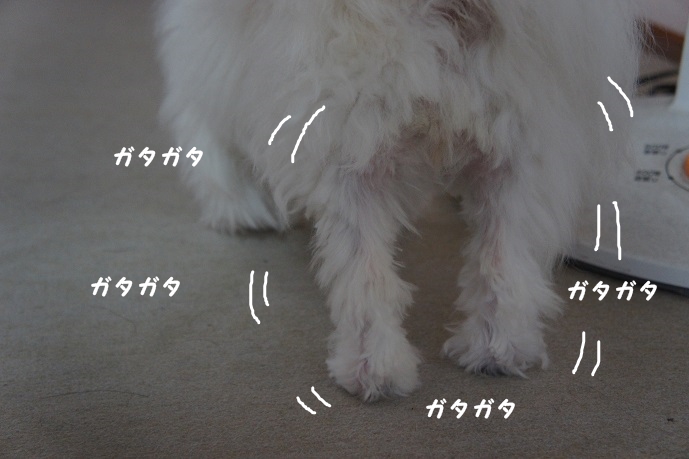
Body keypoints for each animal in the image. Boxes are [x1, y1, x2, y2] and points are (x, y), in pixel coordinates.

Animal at [156, 0, 641, 401]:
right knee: (203, 108)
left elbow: (503, 259)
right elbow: (365, 274)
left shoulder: (519, 147)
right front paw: (374, 367)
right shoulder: (351, 144)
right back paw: (237, 205)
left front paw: (498, 346)